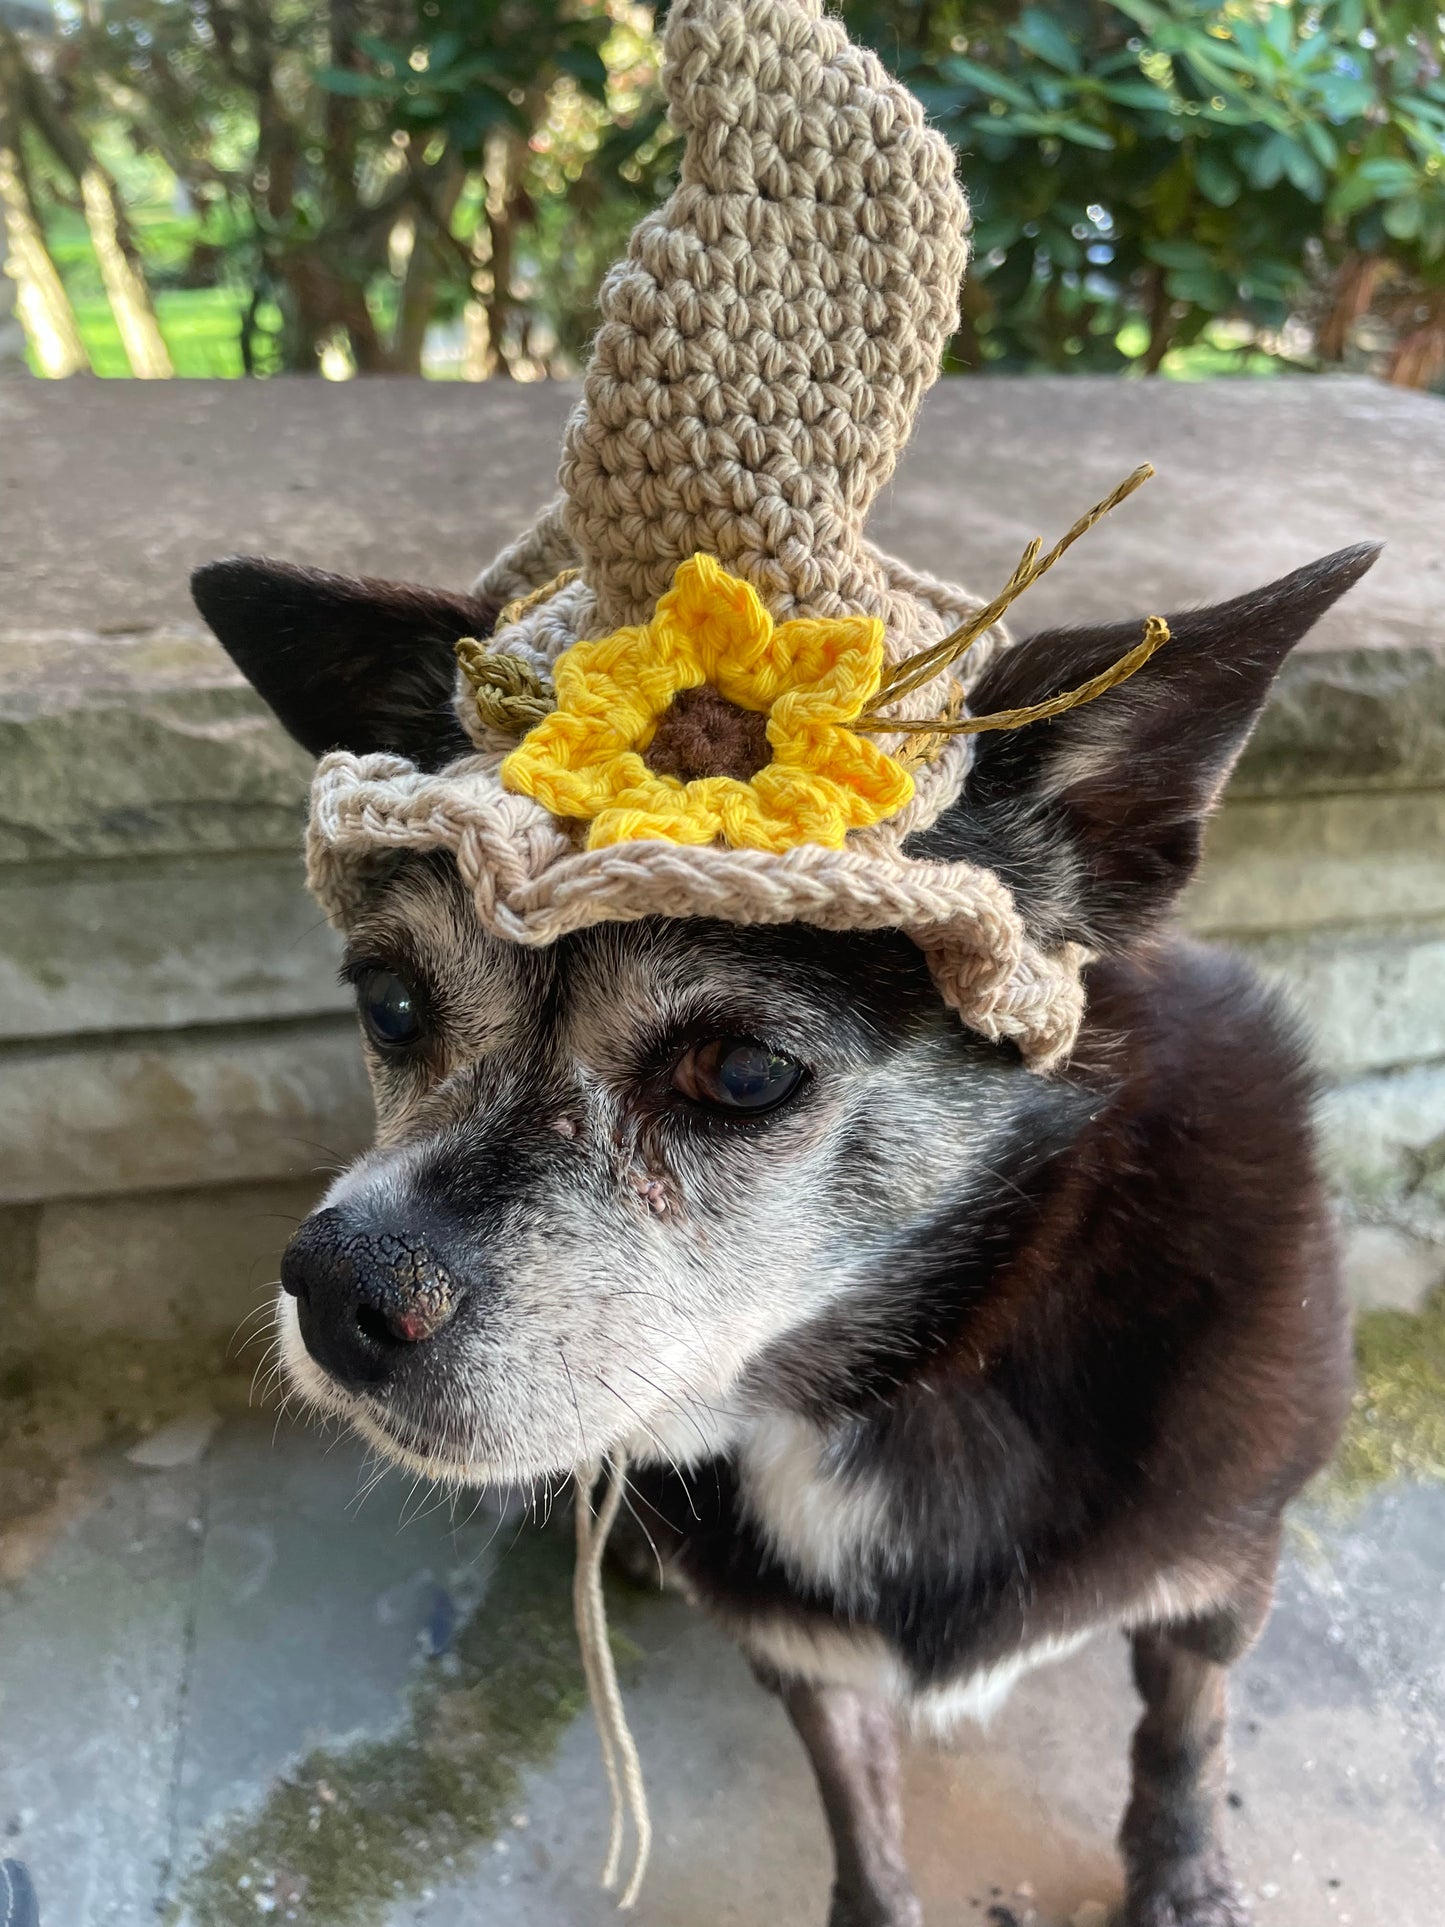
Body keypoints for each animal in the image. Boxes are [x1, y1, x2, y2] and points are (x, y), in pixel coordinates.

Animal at [192, 539, 1379, 1927]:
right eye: (389, 1003)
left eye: (744, 1070)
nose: (335, 1288)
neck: (907, 1384)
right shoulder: (805, 1658)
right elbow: (857, 1814)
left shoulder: (1218, 1577)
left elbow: (1186, 1729)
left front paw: (1181, 1876)